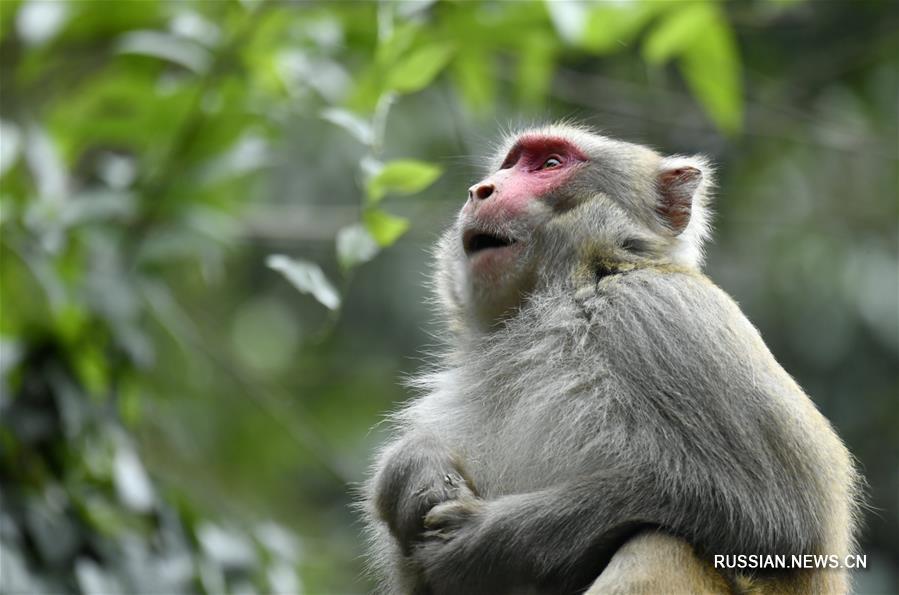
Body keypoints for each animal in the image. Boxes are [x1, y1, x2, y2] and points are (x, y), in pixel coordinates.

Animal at [362, 123, 860, 592]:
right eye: (509, 164)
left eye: (550, 164)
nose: (480, 190)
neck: (567, 292)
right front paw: (412, 469)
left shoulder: (662, 312)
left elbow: (780, 514)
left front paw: (480, 542)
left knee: (659, 544)